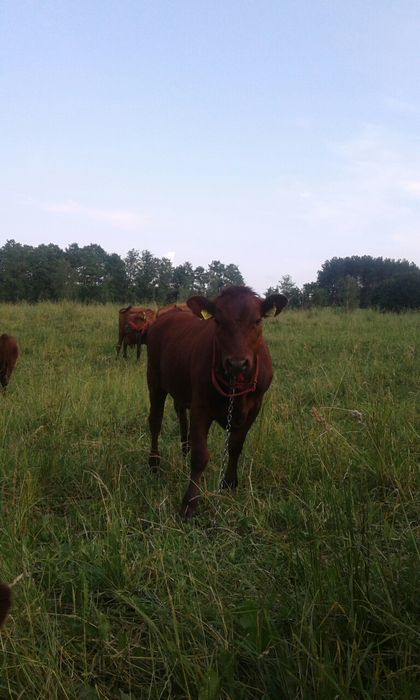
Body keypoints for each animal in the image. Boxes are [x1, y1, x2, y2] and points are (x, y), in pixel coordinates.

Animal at [146, 286, 288, 520]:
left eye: (257, 320)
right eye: (218, 321)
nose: (237, 363)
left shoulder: (254, 407)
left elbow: (235, 447)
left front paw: (230, 484)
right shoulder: (200, 406)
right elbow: (200, 456)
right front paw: (190, 503)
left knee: (180, 413)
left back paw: (184, 449)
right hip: (154, 380)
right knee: (155, 422)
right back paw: (154, 463)